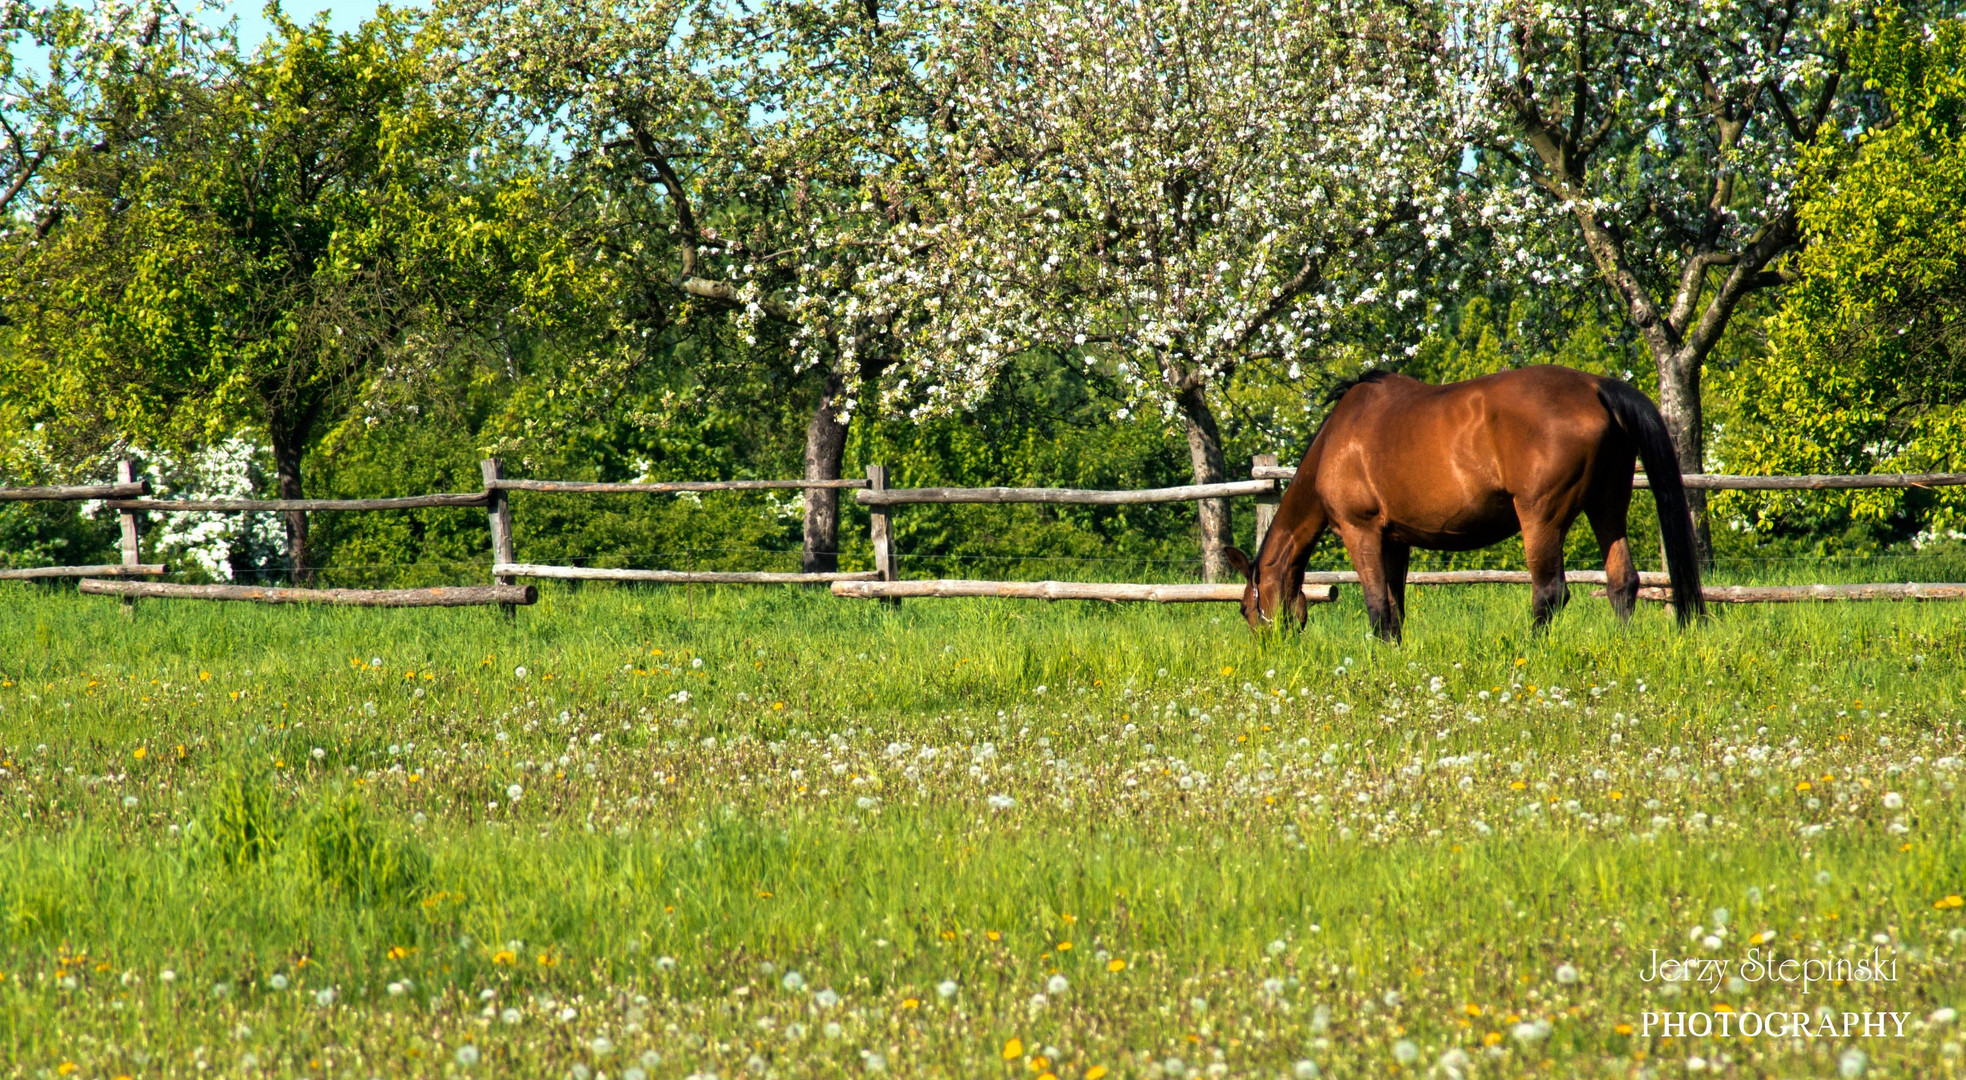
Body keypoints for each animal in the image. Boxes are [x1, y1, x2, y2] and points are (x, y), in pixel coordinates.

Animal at [1226, 367, 1706, 641]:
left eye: (1247, 608)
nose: (1270, 650)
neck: (1337, 441)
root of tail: (1596, 387)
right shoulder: (1395, 540)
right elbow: (1396, 607)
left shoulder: (1360, 532)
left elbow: (1378, 607)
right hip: (1608, 505)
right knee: (1622, 581)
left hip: (1542, 518)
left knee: (1550, 592)